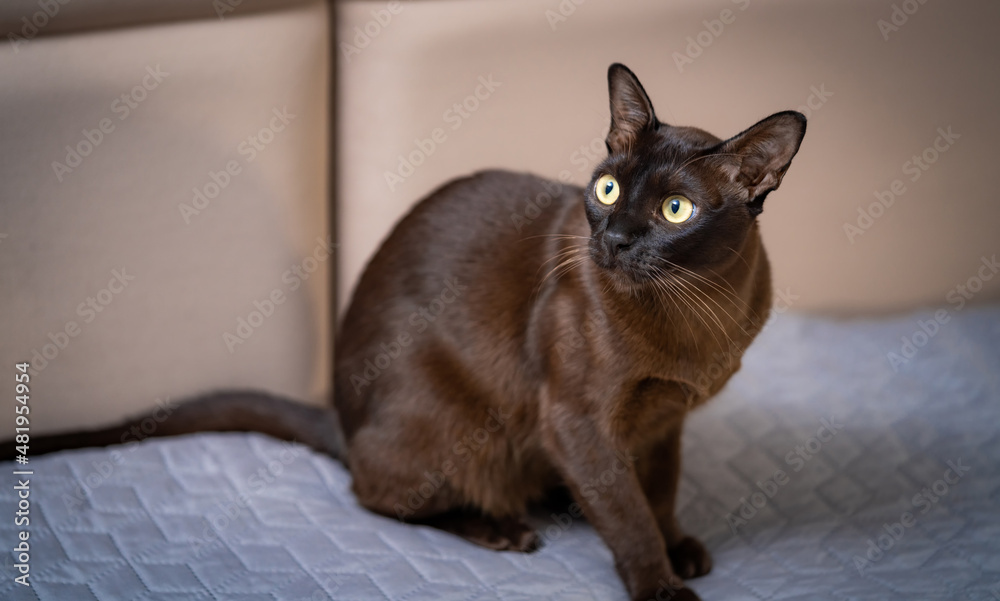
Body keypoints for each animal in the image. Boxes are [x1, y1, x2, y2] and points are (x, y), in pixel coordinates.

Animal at [7, 63, 804, 596]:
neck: (697, 311)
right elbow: (628, 513)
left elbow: (656, 495)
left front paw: (680, 549)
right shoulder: (581, 421)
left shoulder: (663, 421)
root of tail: (343, 415)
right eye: (606, 189)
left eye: (675, 211)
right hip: (466, 429)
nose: (612, 239)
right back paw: (504, 529)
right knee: (378, 493)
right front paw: (663, 585)